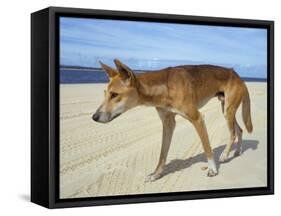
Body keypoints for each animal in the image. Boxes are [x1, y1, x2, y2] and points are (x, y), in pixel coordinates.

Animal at [92, 59, 252, 182]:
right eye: (105, 93)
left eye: (114, 94)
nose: (94, 117)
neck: (165, 87)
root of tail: (238, 76)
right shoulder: (168, 123)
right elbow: (162, 153)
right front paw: (156, 174)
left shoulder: (197, 118)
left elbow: (207, 147)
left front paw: (212, 169)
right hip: (226, 108)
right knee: (239, 129)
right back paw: (237, 151)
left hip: (227, 111)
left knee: (233, 133)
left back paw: (224, 155)